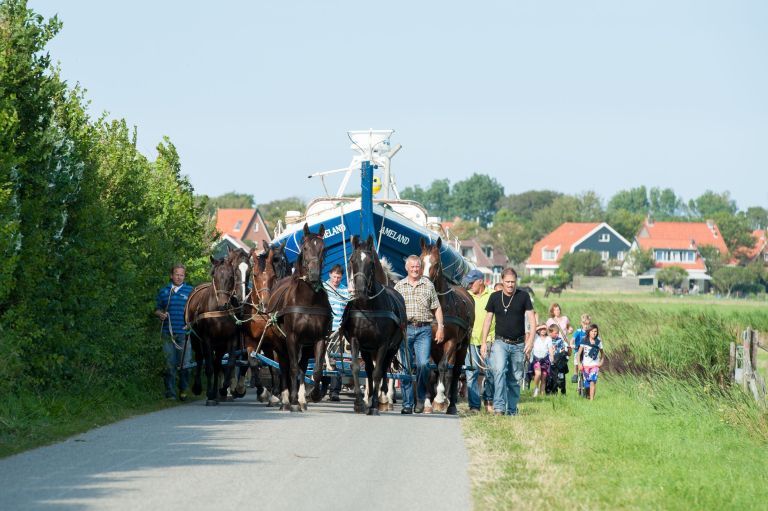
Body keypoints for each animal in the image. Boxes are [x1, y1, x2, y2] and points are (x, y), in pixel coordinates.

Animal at [266, 224, 332, 412]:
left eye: (323, 248)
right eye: (305, 248)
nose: (314, 275)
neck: (308, 300)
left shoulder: (319, 339)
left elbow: (316, 370)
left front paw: (312, 395)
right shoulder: (292, 338)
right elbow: (293, 369)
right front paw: (292, 399)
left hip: (305, 346)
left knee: (302, 367)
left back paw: (301, 398)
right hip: (279, 344)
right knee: (284, 367)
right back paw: (287, 399)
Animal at [342, 236, 408, 416]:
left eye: (371, 262)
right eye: (352, 260)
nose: (359, 290)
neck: (368, 307)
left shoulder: (383, 344)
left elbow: (379, 372)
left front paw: (374, 406)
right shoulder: (356, 341)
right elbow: (357, 368)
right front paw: (360, 403)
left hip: (392, 348)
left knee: (384, 369)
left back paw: (381, 399)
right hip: (367, 350)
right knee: (369, 371)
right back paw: (370, 397)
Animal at [420, 238, 474, 414]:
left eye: (436, 263)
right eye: (420, 262)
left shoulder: (451, 341)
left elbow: (444, 367)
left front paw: (440, 398)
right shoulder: (429, 341)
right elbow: (431, 371)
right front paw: (428, 403)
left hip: (462, 346)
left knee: (454, 371)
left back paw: (451, 404)